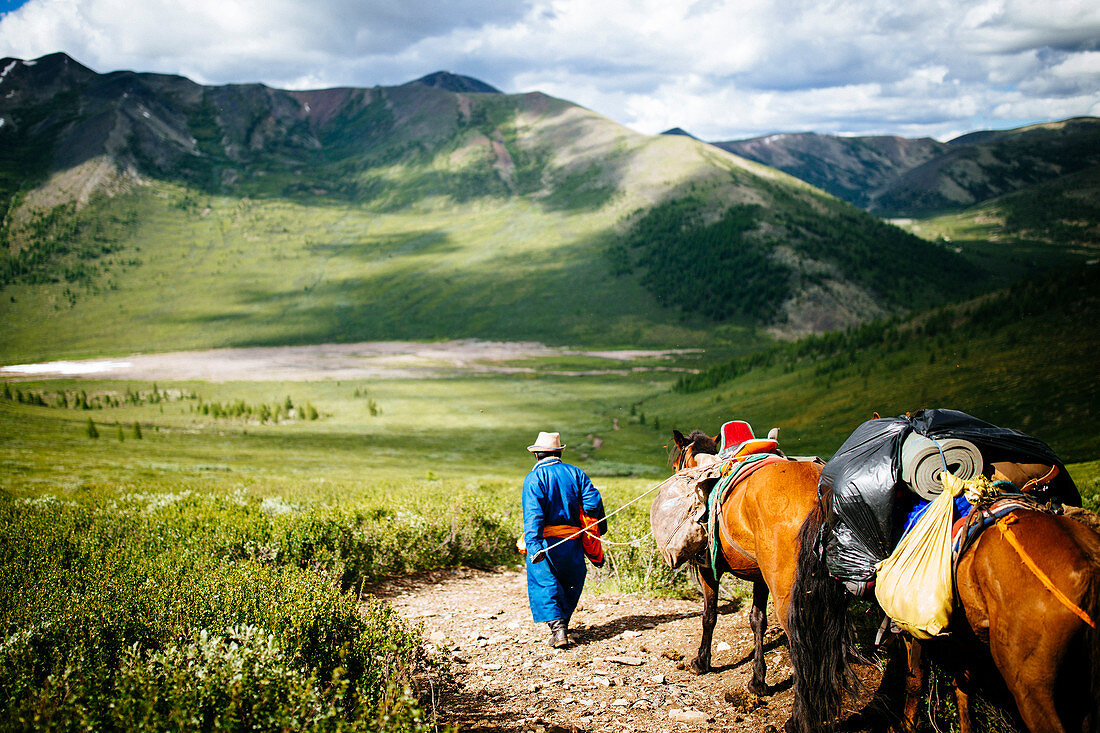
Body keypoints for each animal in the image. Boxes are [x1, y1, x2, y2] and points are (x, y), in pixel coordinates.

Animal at [664, 431, 822, 695]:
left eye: (677, 465)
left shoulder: (708, 570)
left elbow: (709, 614)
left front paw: (702, 661)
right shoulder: (760, 576)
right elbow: (757, 619)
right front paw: (758, 679)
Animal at [792, 482, 1100, 726]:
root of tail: (1088, 570)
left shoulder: (912, 633)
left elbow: (915, 683)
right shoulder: (961, 638)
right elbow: (962, 688)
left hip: (1031, 687)